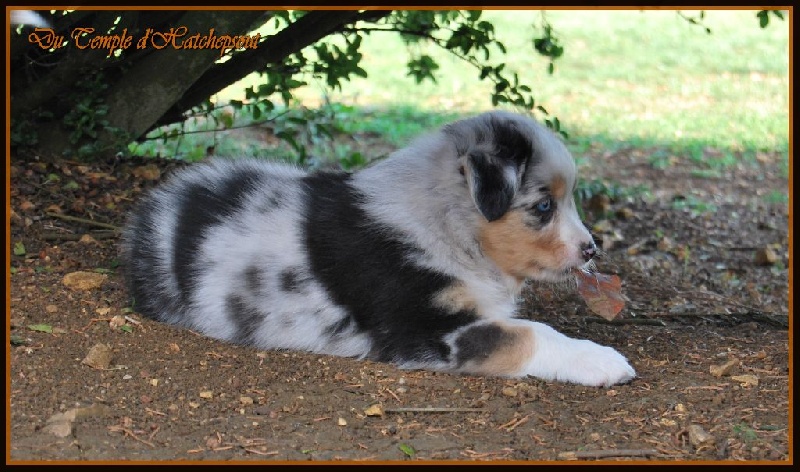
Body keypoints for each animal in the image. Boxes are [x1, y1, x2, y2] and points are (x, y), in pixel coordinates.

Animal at [122, 110, 636, 388]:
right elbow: (531, 333)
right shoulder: (427, 329)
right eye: (545, 205)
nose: (592, 250)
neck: (443, 222)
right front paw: (602, 360)